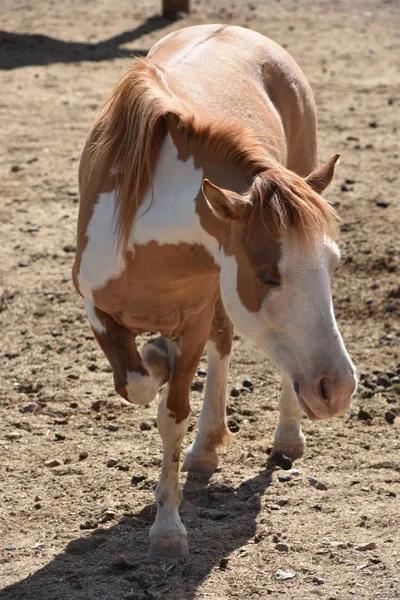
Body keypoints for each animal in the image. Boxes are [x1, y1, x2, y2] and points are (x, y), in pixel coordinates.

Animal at [72, 23, 356, 556]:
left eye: (334, 264)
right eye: (267, 275)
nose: (339, 389)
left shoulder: (195, 314)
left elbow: (172, 410)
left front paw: (167, 527)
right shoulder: (97, 308)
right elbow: (138, 383)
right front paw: (156, 360)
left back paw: (285, 436)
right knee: (223, 345)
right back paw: (206, 446)